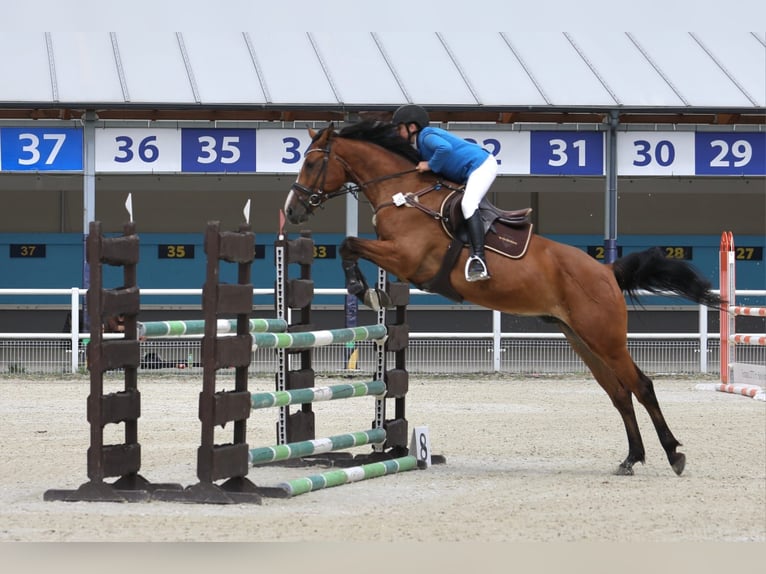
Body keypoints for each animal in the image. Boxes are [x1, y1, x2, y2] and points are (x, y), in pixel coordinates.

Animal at [284, 120, 728, 476]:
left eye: (311, 163)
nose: (292, 211)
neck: (404, 192)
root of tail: (606, 271)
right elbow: (350, 244)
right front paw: (368, 289)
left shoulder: (407, 258)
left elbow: (349, 243)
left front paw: (363, 288)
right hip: (582, 340)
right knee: (619, 394)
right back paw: (631, 458)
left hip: (606, 338)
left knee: (642, 386)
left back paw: (673, 454)